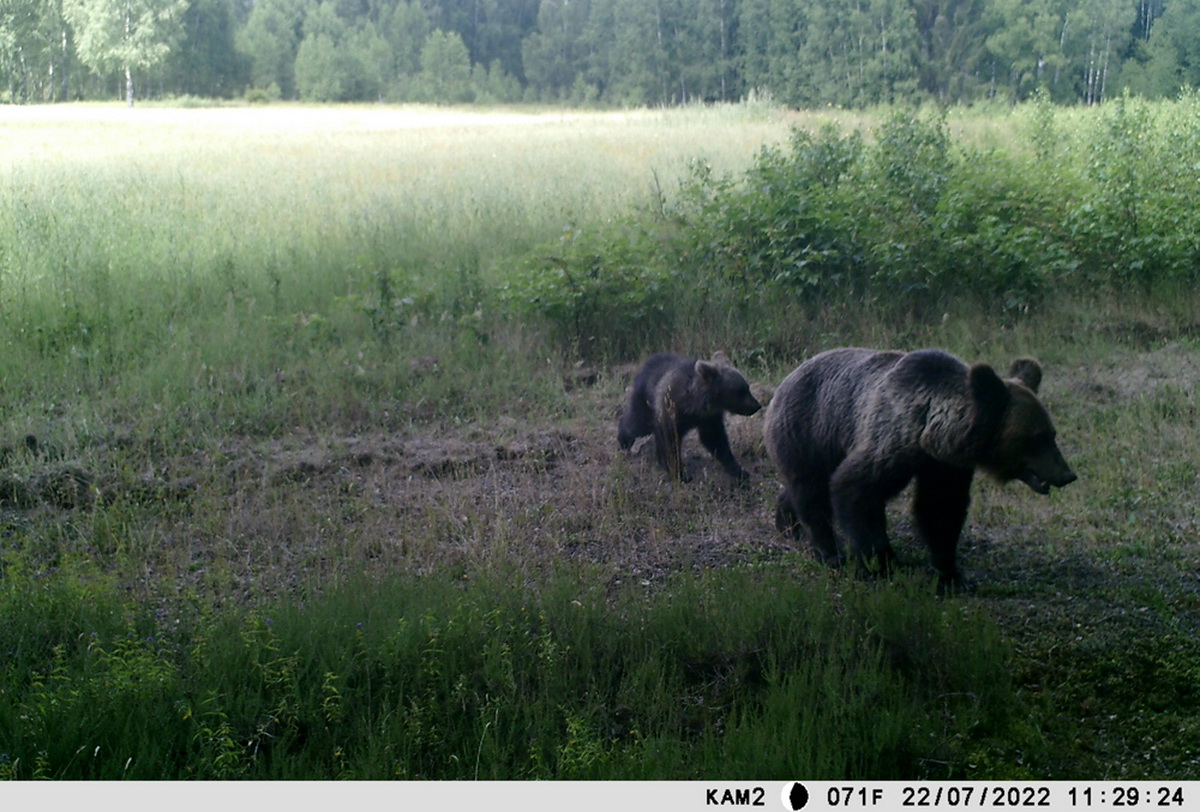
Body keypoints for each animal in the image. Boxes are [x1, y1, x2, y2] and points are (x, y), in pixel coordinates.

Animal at [763, 345, 1075, 585]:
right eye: (1037, 438)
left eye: (1052, 433)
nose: (1067, 474)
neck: (929, 433)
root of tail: (786, 380)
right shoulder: (890, 439)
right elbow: (856, 489)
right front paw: (882, 562)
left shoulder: (945, 464)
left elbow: (940, 507)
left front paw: (949, 572)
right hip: (810, 429)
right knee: (811, 489)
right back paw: (827, 550)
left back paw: (788, 523)